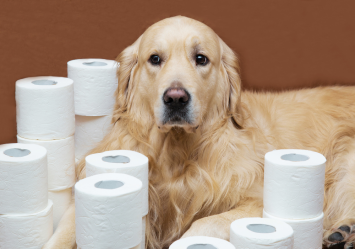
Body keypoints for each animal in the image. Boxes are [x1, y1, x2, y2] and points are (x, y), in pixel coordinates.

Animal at [44, 16, 355, 249]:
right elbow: (67, 228)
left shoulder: (258, 199)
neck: (176, 153)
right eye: (155, 58)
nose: (176, 98)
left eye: (201, 58)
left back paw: (344, 231)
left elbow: (203, 224)